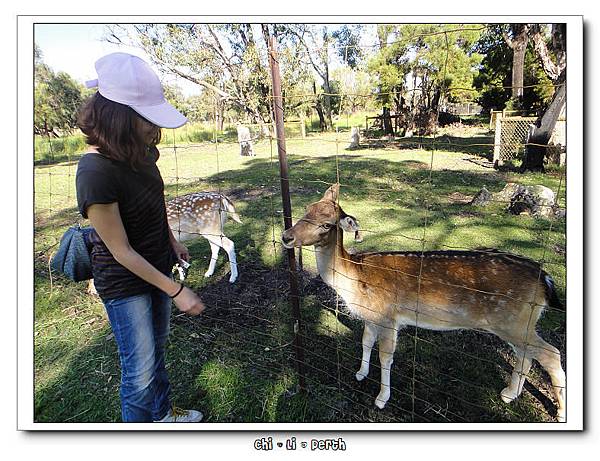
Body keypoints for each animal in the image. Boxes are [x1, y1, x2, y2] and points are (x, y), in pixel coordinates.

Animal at [282, 183, 568, 420]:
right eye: (306, 210)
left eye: (327, 224)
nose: (287, 237)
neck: (354, 280)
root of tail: (546, 278)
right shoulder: (371, 316)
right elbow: (365, 342)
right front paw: (360, 373)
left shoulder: (388, 316)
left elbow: (386, 357)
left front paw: (381, 398)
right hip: (516, 323)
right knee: (526, 355)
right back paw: (509, 394)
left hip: (513, 321)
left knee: (551, 353)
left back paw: (560, 411)